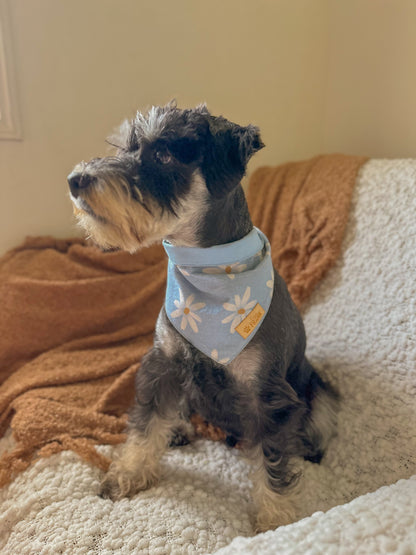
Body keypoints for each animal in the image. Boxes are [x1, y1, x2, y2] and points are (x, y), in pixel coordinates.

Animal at [67, 102, 338, 532]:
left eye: (164, 154)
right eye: (126, 147)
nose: (76, 180)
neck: (206, 275)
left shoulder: (268, 396)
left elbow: (273, 460)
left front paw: (274, 519)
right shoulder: (164, 364)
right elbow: (146, 426)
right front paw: (127, 473)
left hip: (318, 390)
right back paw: (178, 427)